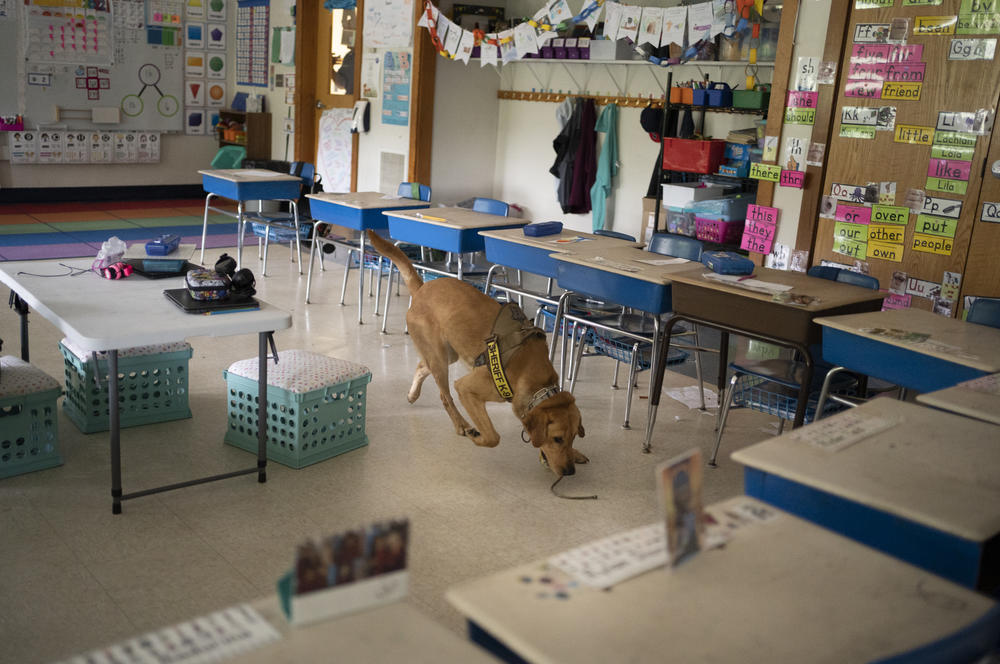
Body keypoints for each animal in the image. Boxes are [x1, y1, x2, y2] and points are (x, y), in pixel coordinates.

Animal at [368, 231, 584, 474]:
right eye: (557, 439)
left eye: (573, 437)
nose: (569, 472)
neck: (536, 380)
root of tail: (422, 288)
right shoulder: (466, 388)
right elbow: (493, 436)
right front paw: (477, 436)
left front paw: (577, 454)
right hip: (440, 358)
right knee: (444, 396)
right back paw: (461, 425)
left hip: (449, 352)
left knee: (422, 366)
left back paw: (413, 394)